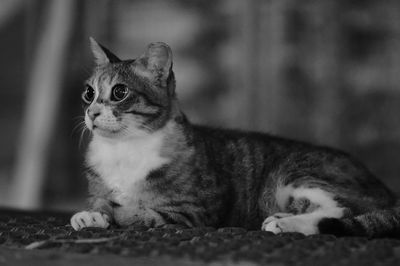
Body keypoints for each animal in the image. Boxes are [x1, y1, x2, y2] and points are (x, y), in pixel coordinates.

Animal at [72, 37, 400, 237]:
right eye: (89, 92)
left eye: (120, 92)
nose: (92, 112)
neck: (122, 149)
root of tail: (388, 191)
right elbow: (102, 201)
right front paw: (91, 214)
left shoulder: (191, 214)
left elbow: (137, 213)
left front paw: (112, 212)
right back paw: (281, 218)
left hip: (297, 173)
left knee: (344, 210)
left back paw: (286, 223)